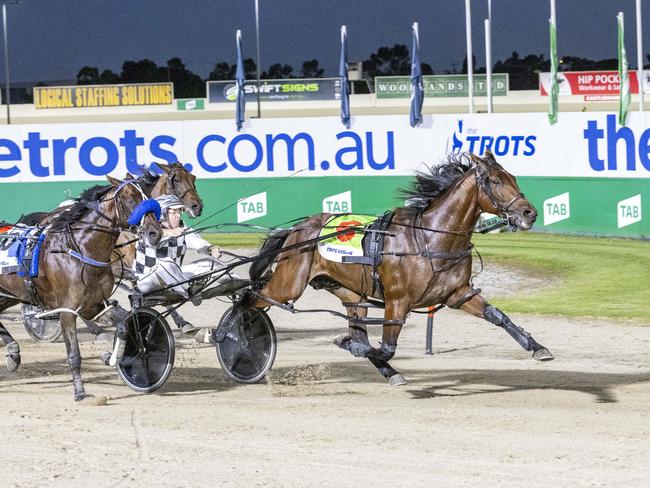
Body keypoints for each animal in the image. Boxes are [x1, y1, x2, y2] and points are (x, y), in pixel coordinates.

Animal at [0, 177, 162, 398]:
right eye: (131, 199)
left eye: (148, 196)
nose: (155, 233)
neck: (79, 249)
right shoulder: (67, 310)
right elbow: (74, 354)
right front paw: (80, 391)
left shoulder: (93, 305)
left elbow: (122, 326)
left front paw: (113, 356)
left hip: (8, 296)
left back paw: (13, 354)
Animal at [232, 151, 552, 386]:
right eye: (495, 181)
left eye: (512, 177)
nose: (529, 213)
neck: (430, 238)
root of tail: (296, 229)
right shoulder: (397, 302)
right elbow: (385, 346)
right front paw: (345, 343)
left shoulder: (458, 294)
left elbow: (499, 317)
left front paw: (538, 348)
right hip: (288, 284)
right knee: (248, 300)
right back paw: (234, 339)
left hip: (352, 294)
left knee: (356, 326)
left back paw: (389, 372)